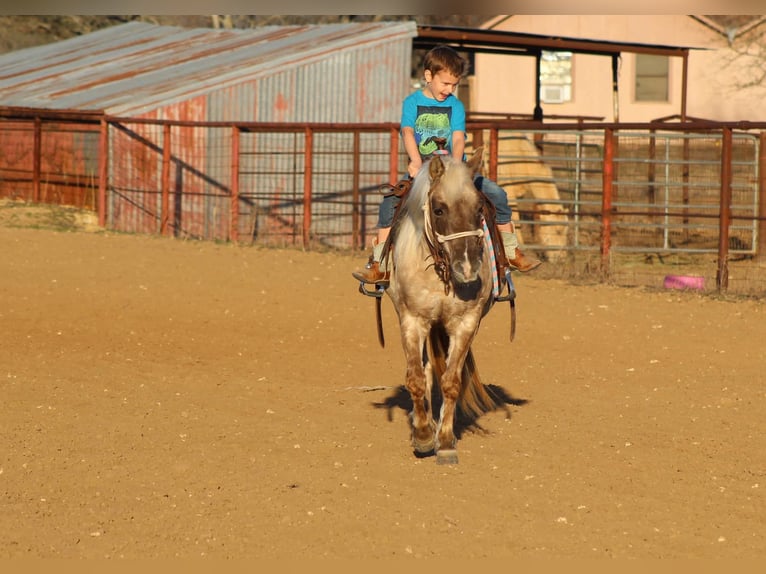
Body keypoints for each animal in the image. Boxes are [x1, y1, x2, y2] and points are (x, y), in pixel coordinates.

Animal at [383, 147, 502, 465]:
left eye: (479, 209)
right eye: (438, 209)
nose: (468, 268)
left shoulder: (466, 322)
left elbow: (451, 381)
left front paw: (446, 441)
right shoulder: (412, 319)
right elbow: (415, 378)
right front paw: (424, 436)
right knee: (423, 371)